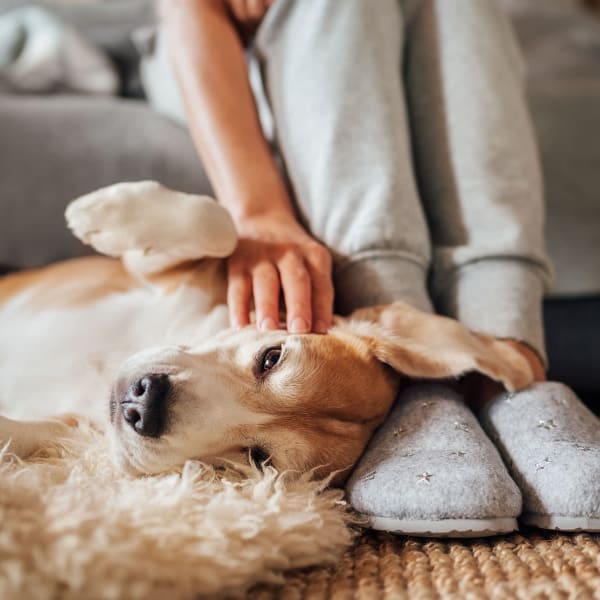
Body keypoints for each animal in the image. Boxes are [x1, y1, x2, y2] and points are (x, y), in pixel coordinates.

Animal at [0, 179, 536, 482]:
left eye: (259, 459)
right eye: (271, 357)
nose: (144, 404)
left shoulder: (72, 427)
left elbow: (25, 433)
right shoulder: (158, 274)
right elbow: (219, 225)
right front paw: (103, 213)